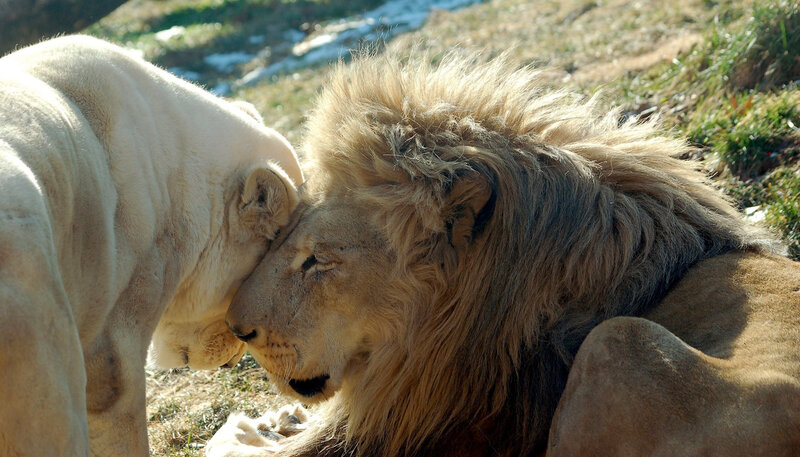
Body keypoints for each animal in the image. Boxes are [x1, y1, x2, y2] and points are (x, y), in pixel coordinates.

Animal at [211, 52, 800, 457]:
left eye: (317, 260)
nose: (237, 330)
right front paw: (280, 420)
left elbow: (232, 443)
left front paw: (257, 427)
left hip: (620, 343)